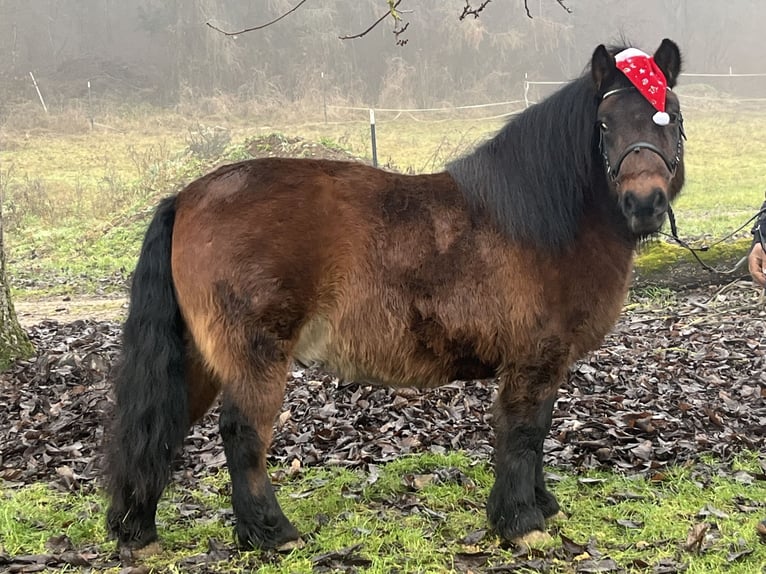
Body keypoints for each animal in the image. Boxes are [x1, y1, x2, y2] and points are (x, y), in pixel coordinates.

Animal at [105, 38, 685, 552]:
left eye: (672, 119)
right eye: (604, 125)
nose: (645, 203)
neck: (542, 219)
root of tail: (188, 195)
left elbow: (535, 433)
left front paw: (539, 506)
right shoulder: (535, 358)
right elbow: (524, 432)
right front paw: (521, 523)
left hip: (198, 357)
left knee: (163, 425)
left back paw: (139, 531)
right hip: (255, 355)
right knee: (242, 432)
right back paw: (272, 533)